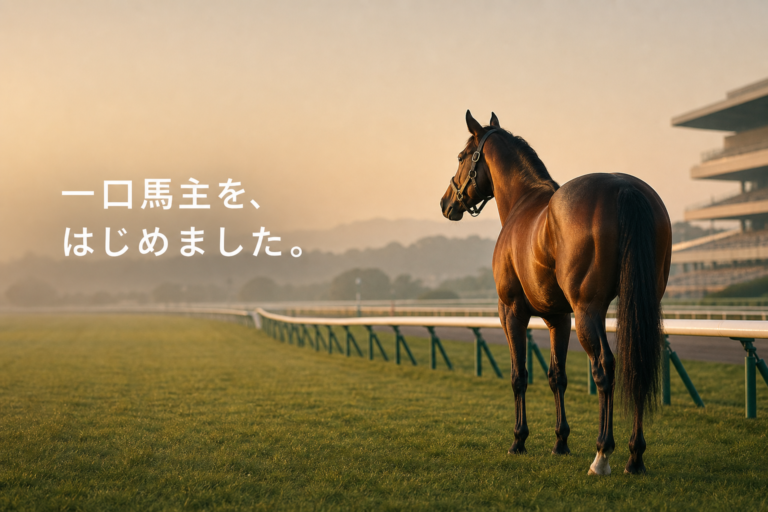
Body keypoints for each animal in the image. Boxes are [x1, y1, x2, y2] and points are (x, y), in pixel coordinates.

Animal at [440, 111, 671, 475]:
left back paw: (602, 454)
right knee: (637, 369)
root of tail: (625, 188)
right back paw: (635, 457)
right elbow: (556, 376)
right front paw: (560, 441)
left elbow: (519, 375)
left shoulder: (511, 312)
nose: (446, 203)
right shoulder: (558, 318)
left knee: (604, 368)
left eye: (462, 156)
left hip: (588, 311)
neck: (523, 203)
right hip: (640, 307)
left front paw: (518, 440)